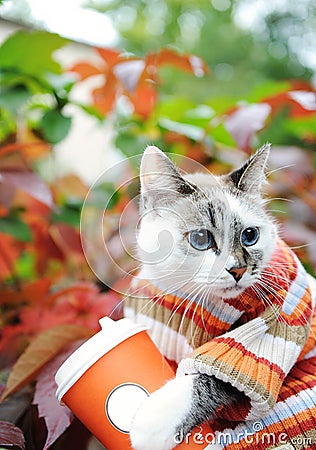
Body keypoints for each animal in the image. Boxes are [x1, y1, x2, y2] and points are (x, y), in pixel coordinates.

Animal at [126, 145, 316, 450]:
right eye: (201, 238)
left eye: (250, 235)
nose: (238, 269)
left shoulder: (267, 333)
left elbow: (214, 376)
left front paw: (152, 422)